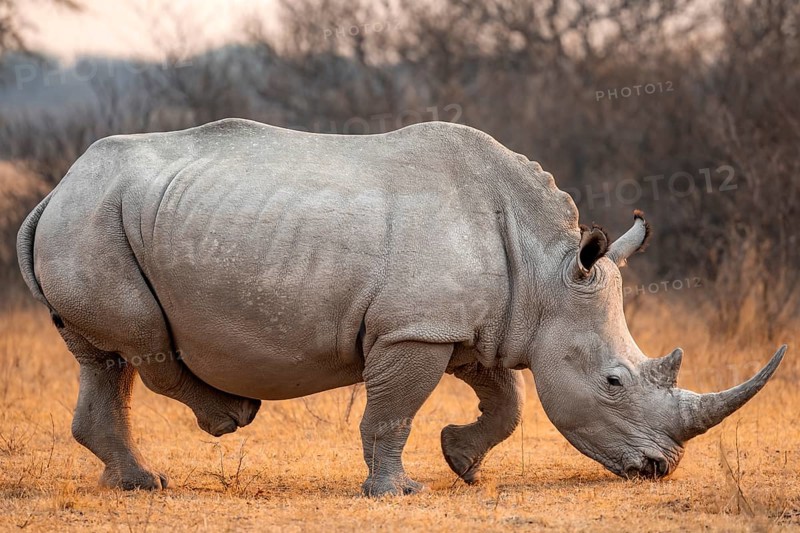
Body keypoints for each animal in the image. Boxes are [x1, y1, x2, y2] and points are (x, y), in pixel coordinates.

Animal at [17, 119, 785, 496]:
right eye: (614, 381)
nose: (661, 469)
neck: (546, 269)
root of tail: (56, 187)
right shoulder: (413, 330)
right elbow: (392, 412)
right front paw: (398, 492)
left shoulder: (470, 324)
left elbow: (507, 401)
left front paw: (463, 464)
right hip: (92, 221)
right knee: (141, 343)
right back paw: (228, 416)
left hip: (100, 216)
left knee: (104, 360)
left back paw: (140, 483)